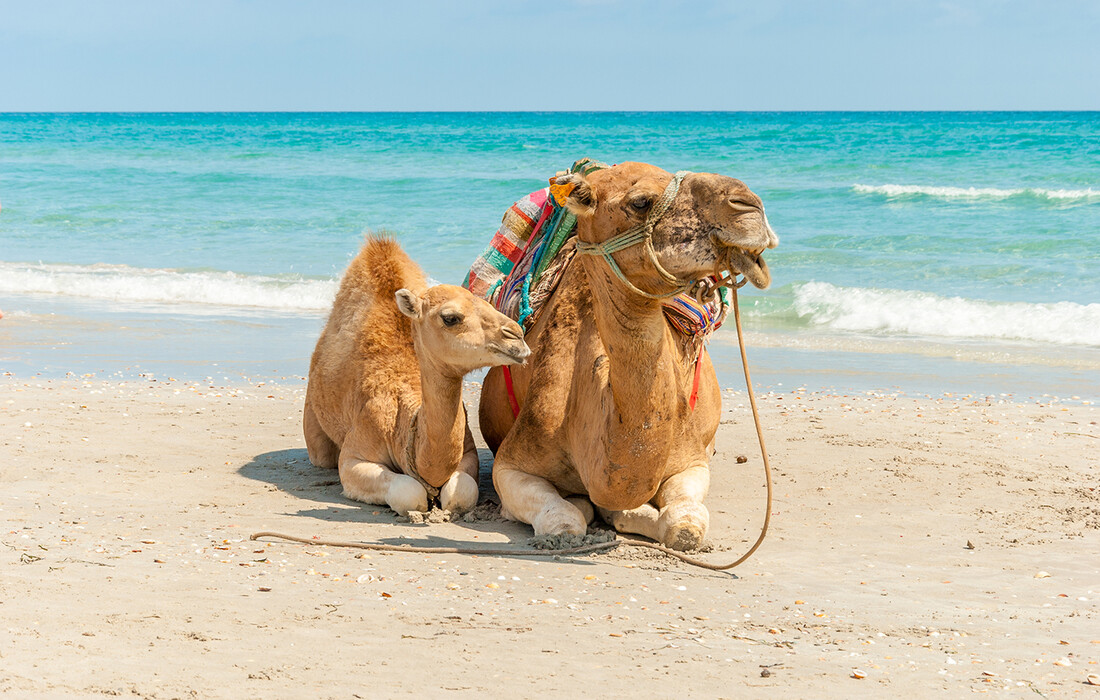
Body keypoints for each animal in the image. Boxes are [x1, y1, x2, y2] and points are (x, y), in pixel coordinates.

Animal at [303, 237, 530, 517]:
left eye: (490, 304)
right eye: (451, 318)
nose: (517, 336)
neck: (401, 418)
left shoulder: (468, 452)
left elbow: (462, 493)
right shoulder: (355, 454)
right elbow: (409, 491)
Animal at [479, 161, 774, 550]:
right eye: (641, 201)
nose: (750, 206)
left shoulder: (691, 461)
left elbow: (683, 524)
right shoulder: (511, 463)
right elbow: (565, 521)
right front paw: (584, 506)